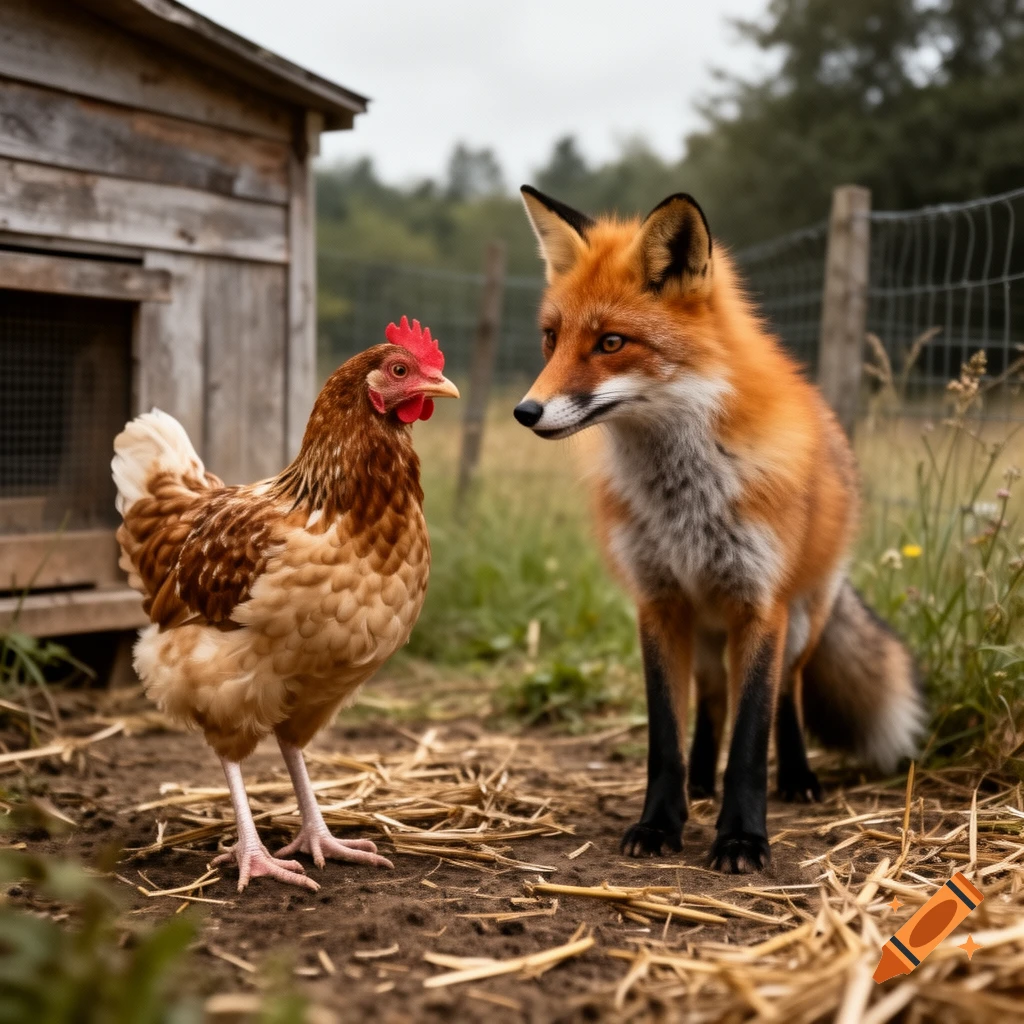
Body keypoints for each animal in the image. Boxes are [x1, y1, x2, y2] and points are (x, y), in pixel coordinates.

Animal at [513, 185, 925, 872]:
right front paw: (660, 823)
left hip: (800, 621)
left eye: (611, 343)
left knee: (787, 696)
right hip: (705, 632)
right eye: (551, 338)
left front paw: (741, 838)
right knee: (708, 703)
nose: (526, 411)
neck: (684, 500)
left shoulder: (759, 604)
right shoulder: (658, 603)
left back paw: (797, 778)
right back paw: (700, 781)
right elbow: (665, 739)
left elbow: (751, 740)